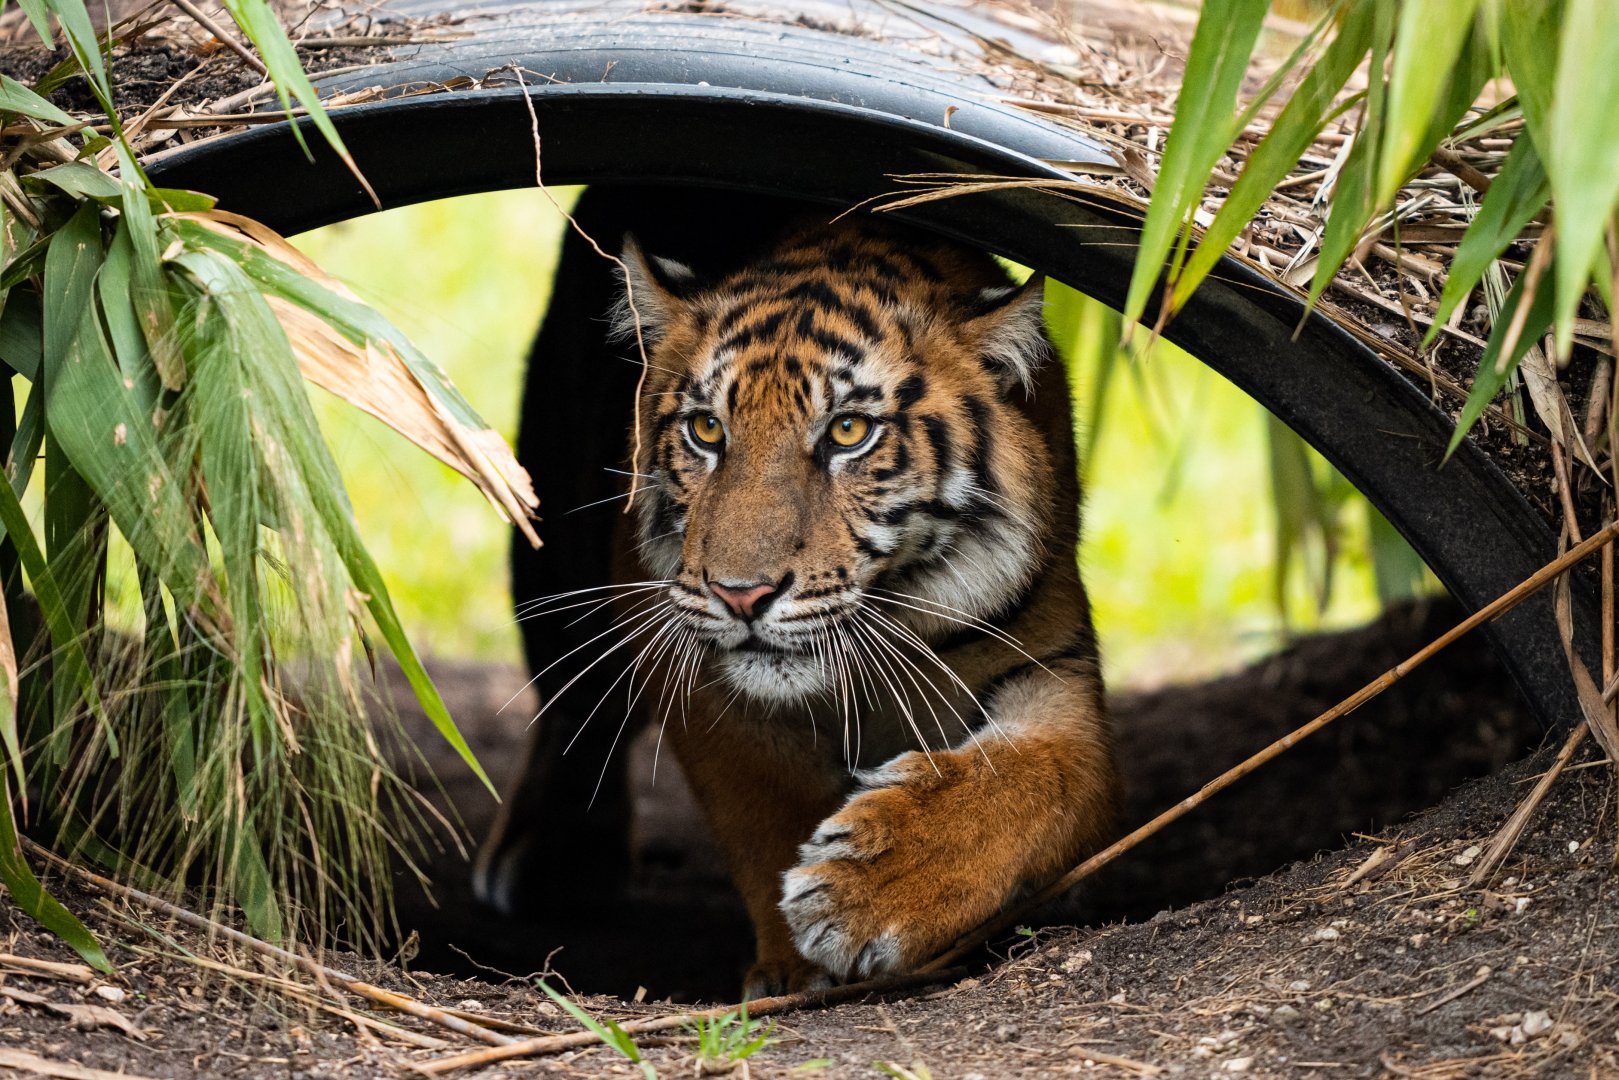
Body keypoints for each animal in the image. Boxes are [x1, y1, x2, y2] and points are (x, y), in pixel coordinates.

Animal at [476, 193, 1118, 998]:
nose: (741, 595)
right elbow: (767, 808)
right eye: (707, 428)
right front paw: (798, 958)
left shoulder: (1053, 673)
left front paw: (867, 892)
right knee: (573, 708)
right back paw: (556, 865)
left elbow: (1030, 784)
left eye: (847, 431)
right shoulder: (703, 679)